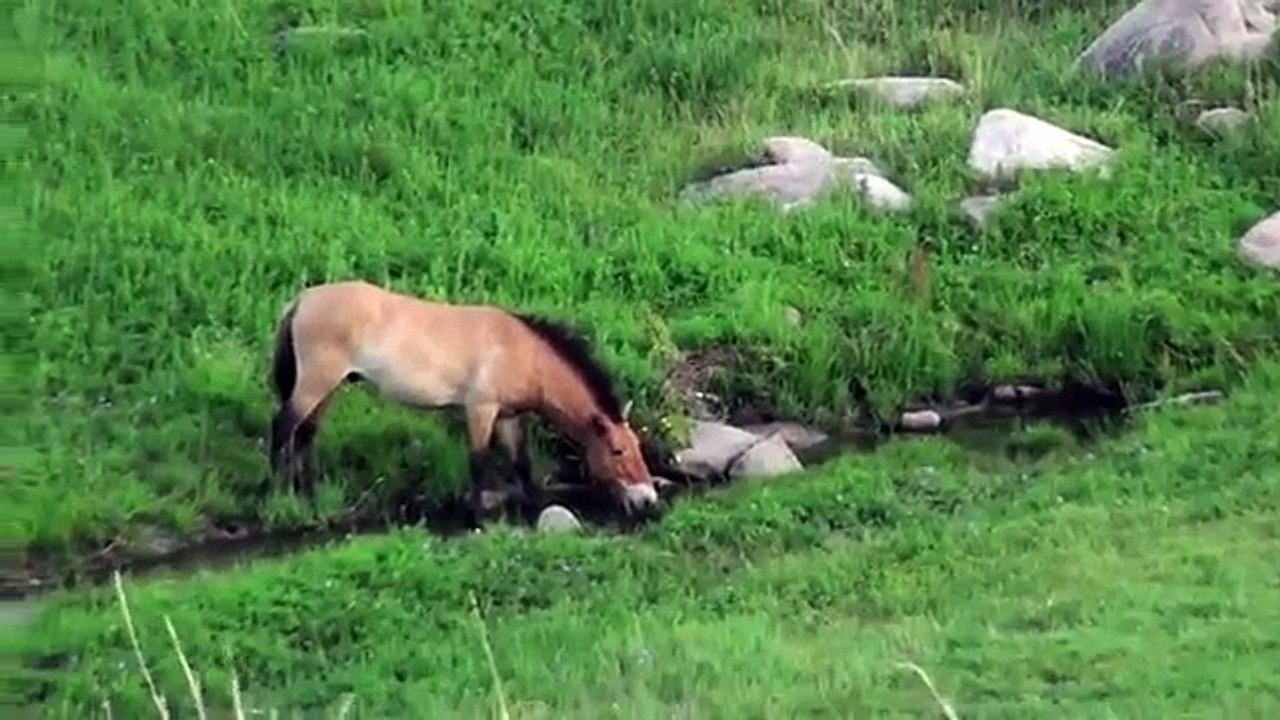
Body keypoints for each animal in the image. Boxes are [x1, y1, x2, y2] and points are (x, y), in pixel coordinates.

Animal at [266, 280, 664, 524]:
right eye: (617, 451)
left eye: (637, 447)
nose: (648, 500)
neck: (522, 351)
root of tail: (301, 300)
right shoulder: (481, 409)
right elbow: (479, 461)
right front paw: (476, 519)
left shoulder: (508, 416)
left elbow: (522, 464)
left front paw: (534, 507)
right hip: (316, 382)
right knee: (283, 427)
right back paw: (275, 492)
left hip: (329, 386)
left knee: (307, 433)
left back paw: (310, 496)